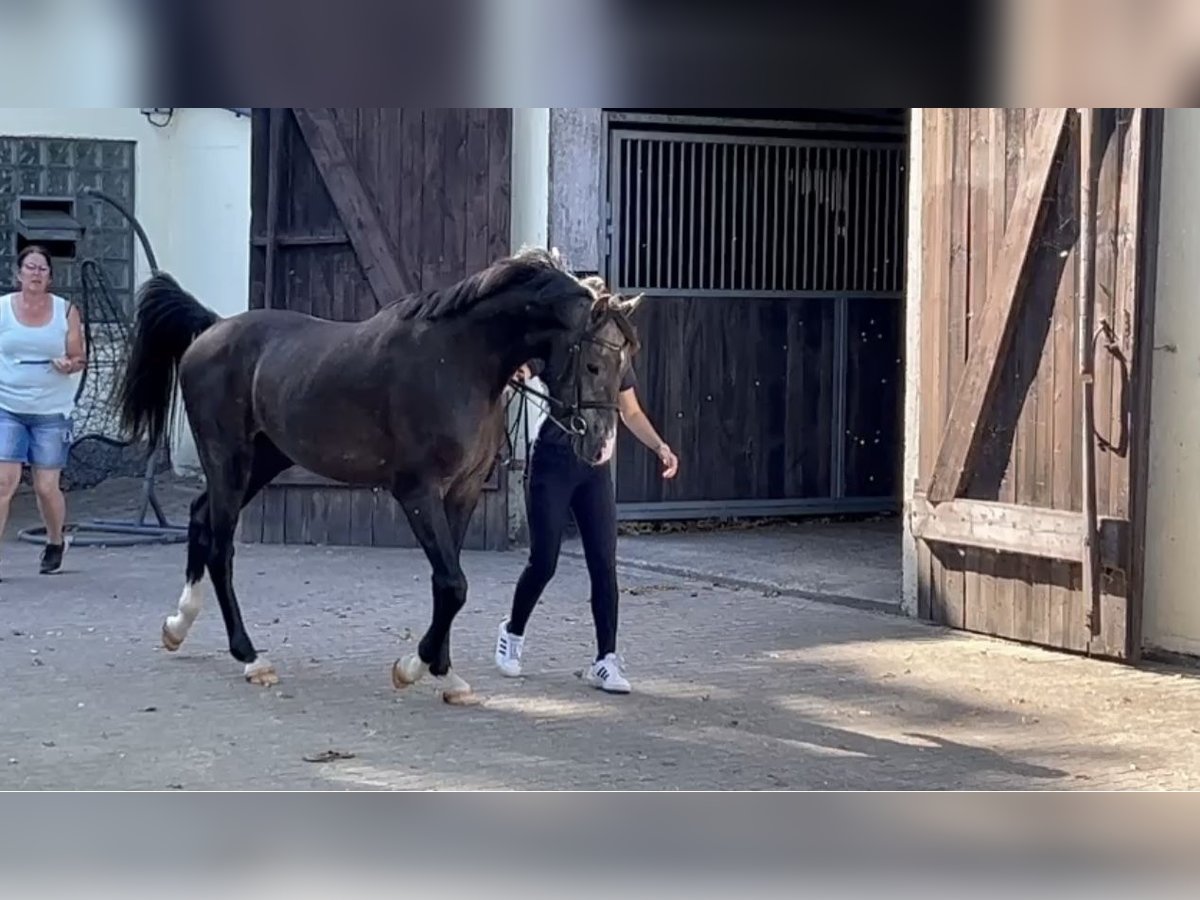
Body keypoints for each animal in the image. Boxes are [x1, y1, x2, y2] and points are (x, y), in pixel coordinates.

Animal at [114, 247, 638, 705]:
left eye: (624, 365)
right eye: (594, 363)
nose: (598, 446)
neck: (460, 358)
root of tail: (212, 329)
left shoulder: (463, 492)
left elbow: (447, 582)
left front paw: (445, 674)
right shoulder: (417, 492)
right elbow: (453, 583)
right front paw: (413, 667)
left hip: (261, 463)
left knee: (201, 518)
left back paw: (178, 625)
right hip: (229, 459)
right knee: (220, 548)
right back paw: (250, 658)